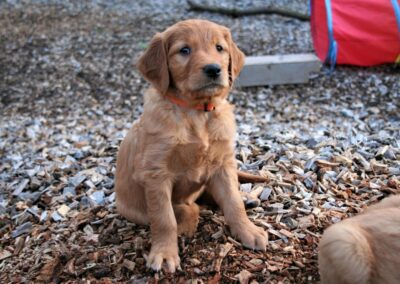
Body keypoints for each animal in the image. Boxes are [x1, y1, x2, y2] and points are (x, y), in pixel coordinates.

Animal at [114, 20, 268, 272]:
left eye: (219, 48)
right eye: (184, 50)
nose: (214, 69)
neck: (197, 112)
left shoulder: (223, 164)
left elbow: (233, 203)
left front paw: (249, 231)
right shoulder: (156, 174)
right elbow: (164, 218)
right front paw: (165, 254)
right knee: (185, 208)